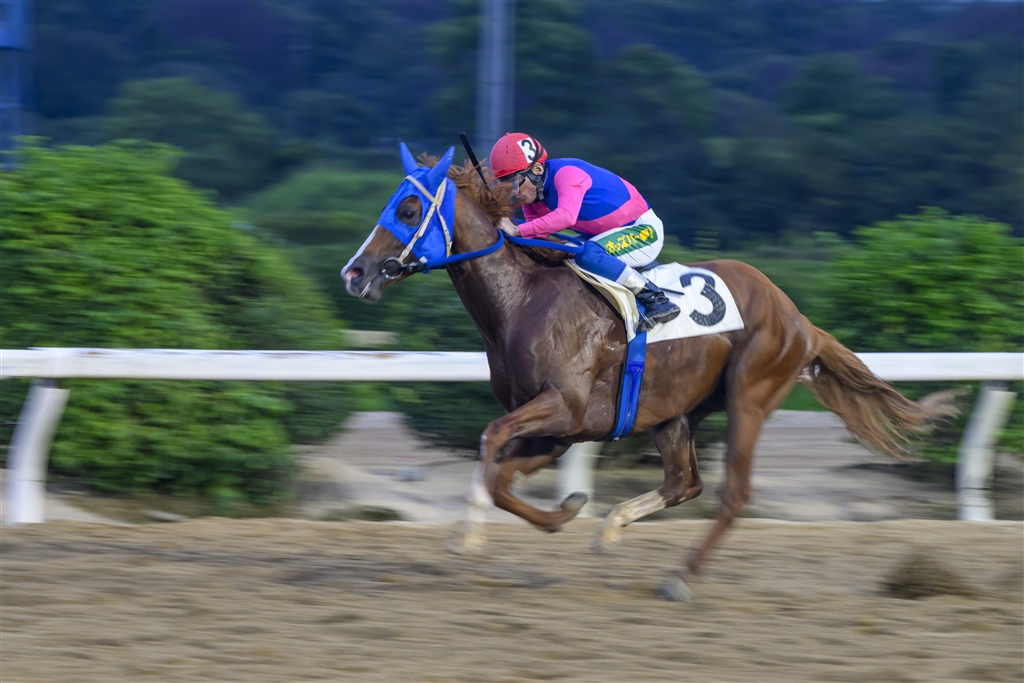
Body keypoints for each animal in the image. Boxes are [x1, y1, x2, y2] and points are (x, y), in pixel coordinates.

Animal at [341, 145, 944, 601]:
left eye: (410, 209)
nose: (355, 273)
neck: (524, 300)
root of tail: (798, 318)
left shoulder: (564, 406)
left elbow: (490, 442)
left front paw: (468, 535)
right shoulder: (561, 429)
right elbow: (500, 475)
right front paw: (564, 513)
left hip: (750, 396)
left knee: (732, 493)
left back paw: (681, 577)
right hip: (676, 411)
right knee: (684, 481)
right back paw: (612, 527)